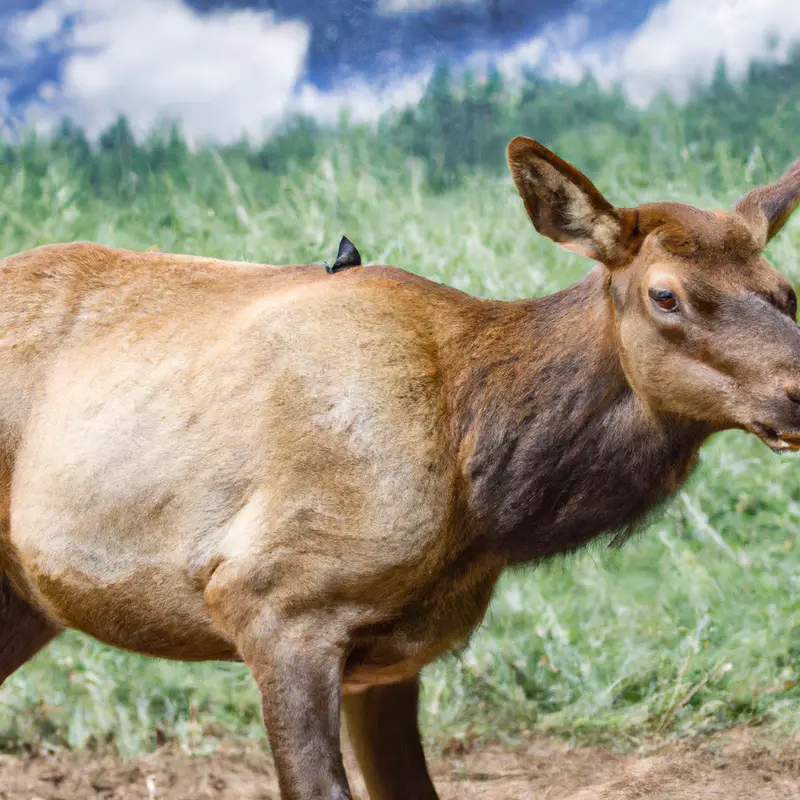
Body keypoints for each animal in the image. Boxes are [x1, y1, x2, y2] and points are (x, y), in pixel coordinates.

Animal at [1, 139, 800, 800]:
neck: (485, 503)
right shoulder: (276, 605)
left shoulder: (391, 660)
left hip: (24, 601)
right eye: (665, 293)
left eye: (785, 290)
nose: (798, 389)